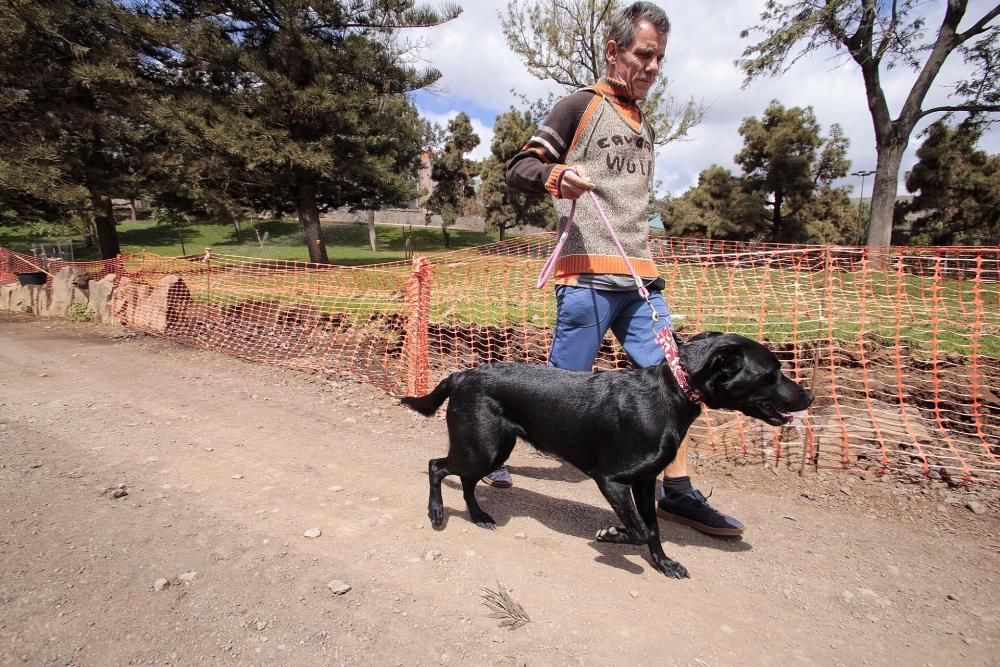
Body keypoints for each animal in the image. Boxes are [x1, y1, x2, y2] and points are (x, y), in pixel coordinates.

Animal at [398, 332, 812, 580]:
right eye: (773, 372)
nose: (809, 395)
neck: (673, 391)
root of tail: (461, 375)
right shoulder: (611, 479)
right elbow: (640, 528)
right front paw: (613, 534)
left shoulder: (644, 481)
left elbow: (653, 528)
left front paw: (664, 563)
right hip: (482, 447)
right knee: (437, 467)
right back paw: (437, 513)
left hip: (493, 449)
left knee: (465, 480)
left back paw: (480, 516)